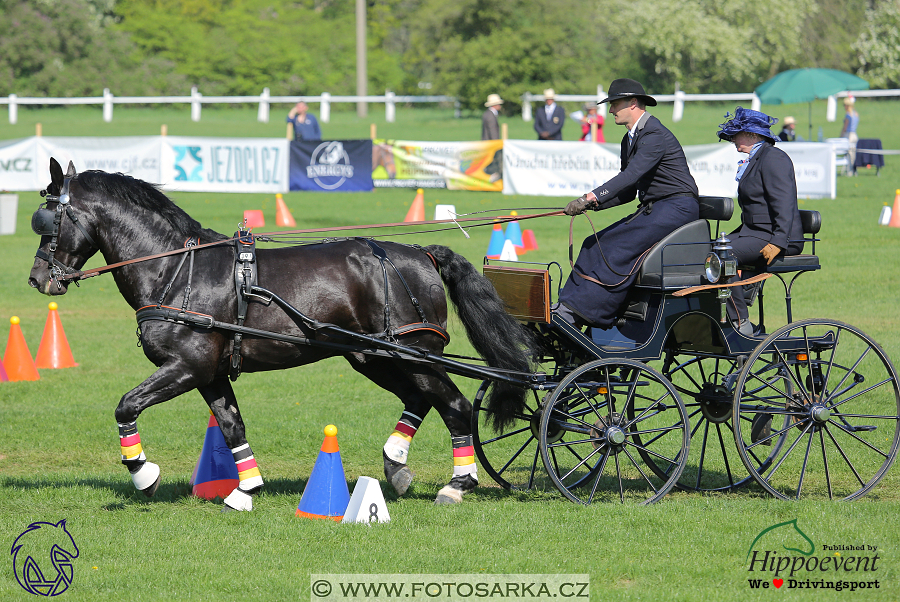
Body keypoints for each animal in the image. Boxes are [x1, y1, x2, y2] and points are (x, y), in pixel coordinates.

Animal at [29, 157, 536, 508]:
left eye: (48, 220)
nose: (37, 279)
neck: (177, 268)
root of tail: (421, 253)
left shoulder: (186, 366)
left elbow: (126, 406)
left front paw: (144, 475)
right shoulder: (209, 373)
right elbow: (231, 425)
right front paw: (246, 488)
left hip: (412, 353)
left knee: (454, 405)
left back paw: (457, 484)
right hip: (374, 356)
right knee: (421, 398)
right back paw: (396, 466)